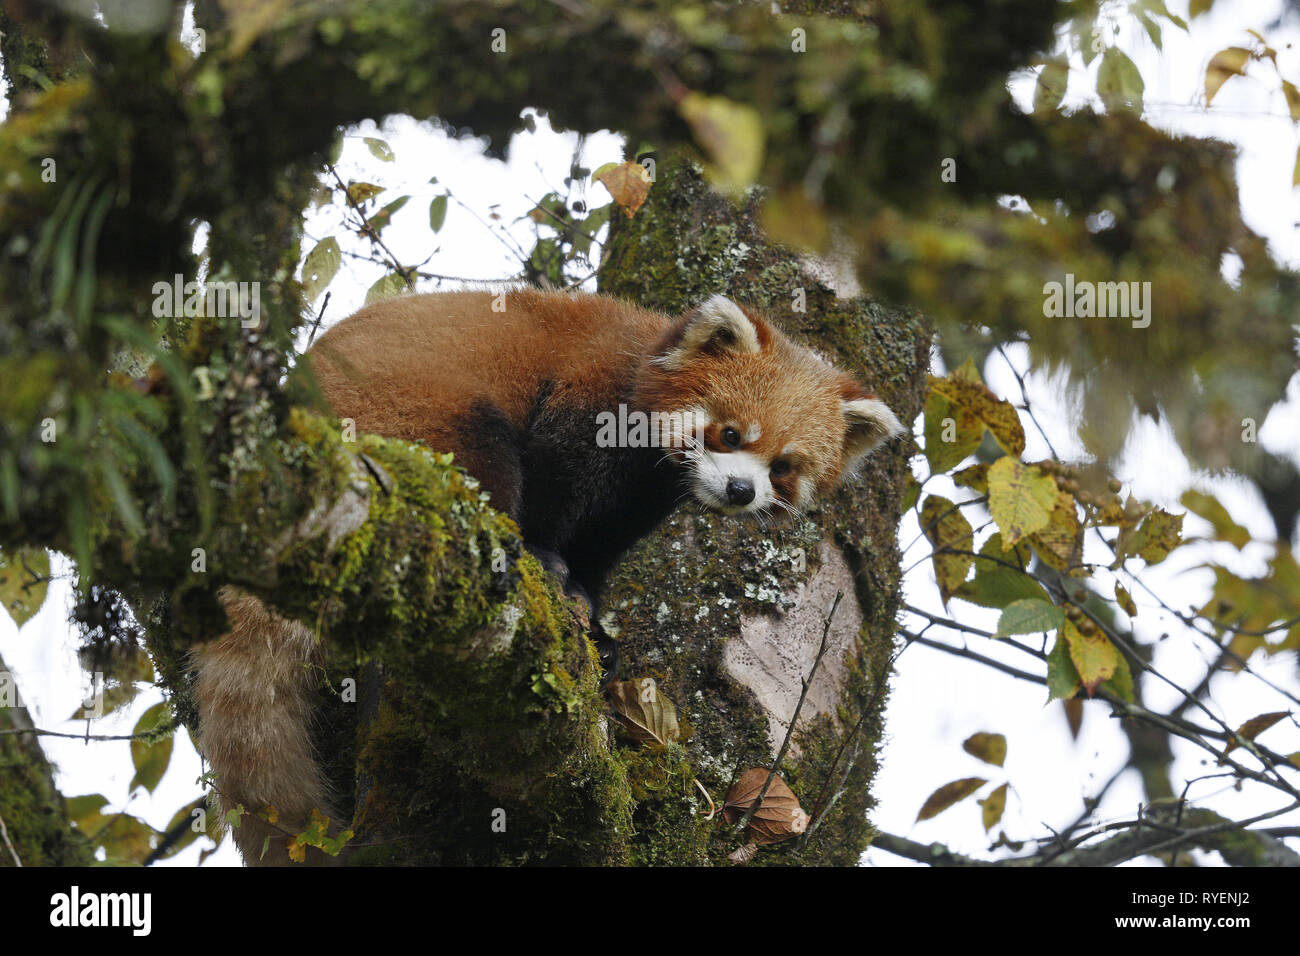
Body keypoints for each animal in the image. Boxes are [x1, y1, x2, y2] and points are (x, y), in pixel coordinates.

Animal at [192, 287, 904, 863]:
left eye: (782, 466)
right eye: (729, 434)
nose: (738, 490)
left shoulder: (640, 498)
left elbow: (601, 545)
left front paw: (595, 617)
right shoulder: (585, 395)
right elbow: (556, 481)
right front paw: (549, 562)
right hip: (411, 412)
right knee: (481, 457)